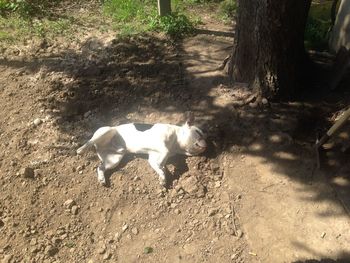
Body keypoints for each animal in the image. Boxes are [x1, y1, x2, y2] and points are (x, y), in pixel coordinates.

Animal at [76, 115, 206, 186]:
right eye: (198, 133)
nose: (207, 142)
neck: (177, 144)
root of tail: (99, 146)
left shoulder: (153, 158)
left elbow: (159, 166)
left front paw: (162, 176)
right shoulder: (162, 145)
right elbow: (165, 153)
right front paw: (164, 172)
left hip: (114, 159)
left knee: (100, 167)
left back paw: (102, 179)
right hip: (106, 131)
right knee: (90, 141)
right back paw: (81, 150)